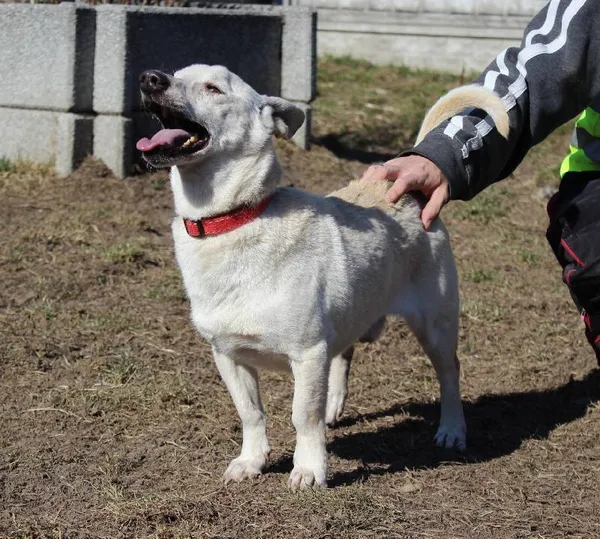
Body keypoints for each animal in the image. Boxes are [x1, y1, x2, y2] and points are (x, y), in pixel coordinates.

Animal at [138, 66, 508, 490]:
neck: (234, 221)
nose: (150, 78)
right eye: (174, 73)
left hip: (436, 325)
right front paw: (251, 461)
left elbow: (303, 415)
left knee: (449, 372)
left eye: (214, 88)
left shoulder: (308, 353)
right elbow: (250, 411)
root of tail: (407, 188)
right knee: (344, 353)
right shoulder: (227, 355)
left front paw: (309, 469)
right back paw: (334, 404)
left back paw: (452, 430)